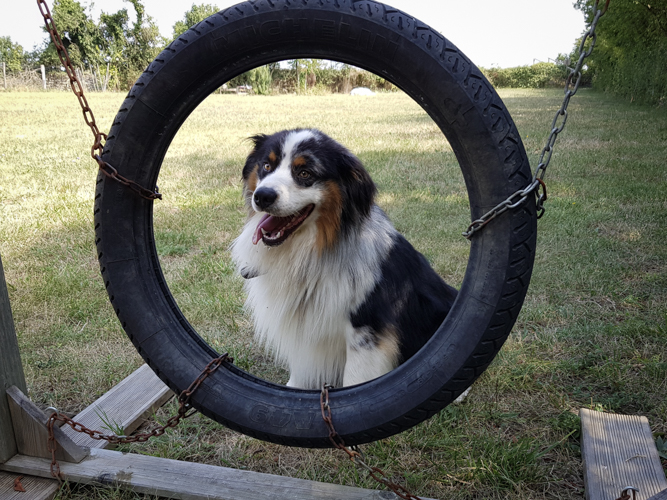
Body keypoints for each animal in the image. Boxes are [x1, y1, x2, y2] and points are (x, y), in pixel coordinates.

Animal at [231, 129, 460, 390]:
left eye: (305, 173)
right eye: (267, 165)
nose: (262, 196)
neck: (310, 253)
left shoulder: (366, 332)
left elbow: (355, 378)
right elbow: (299, 371)